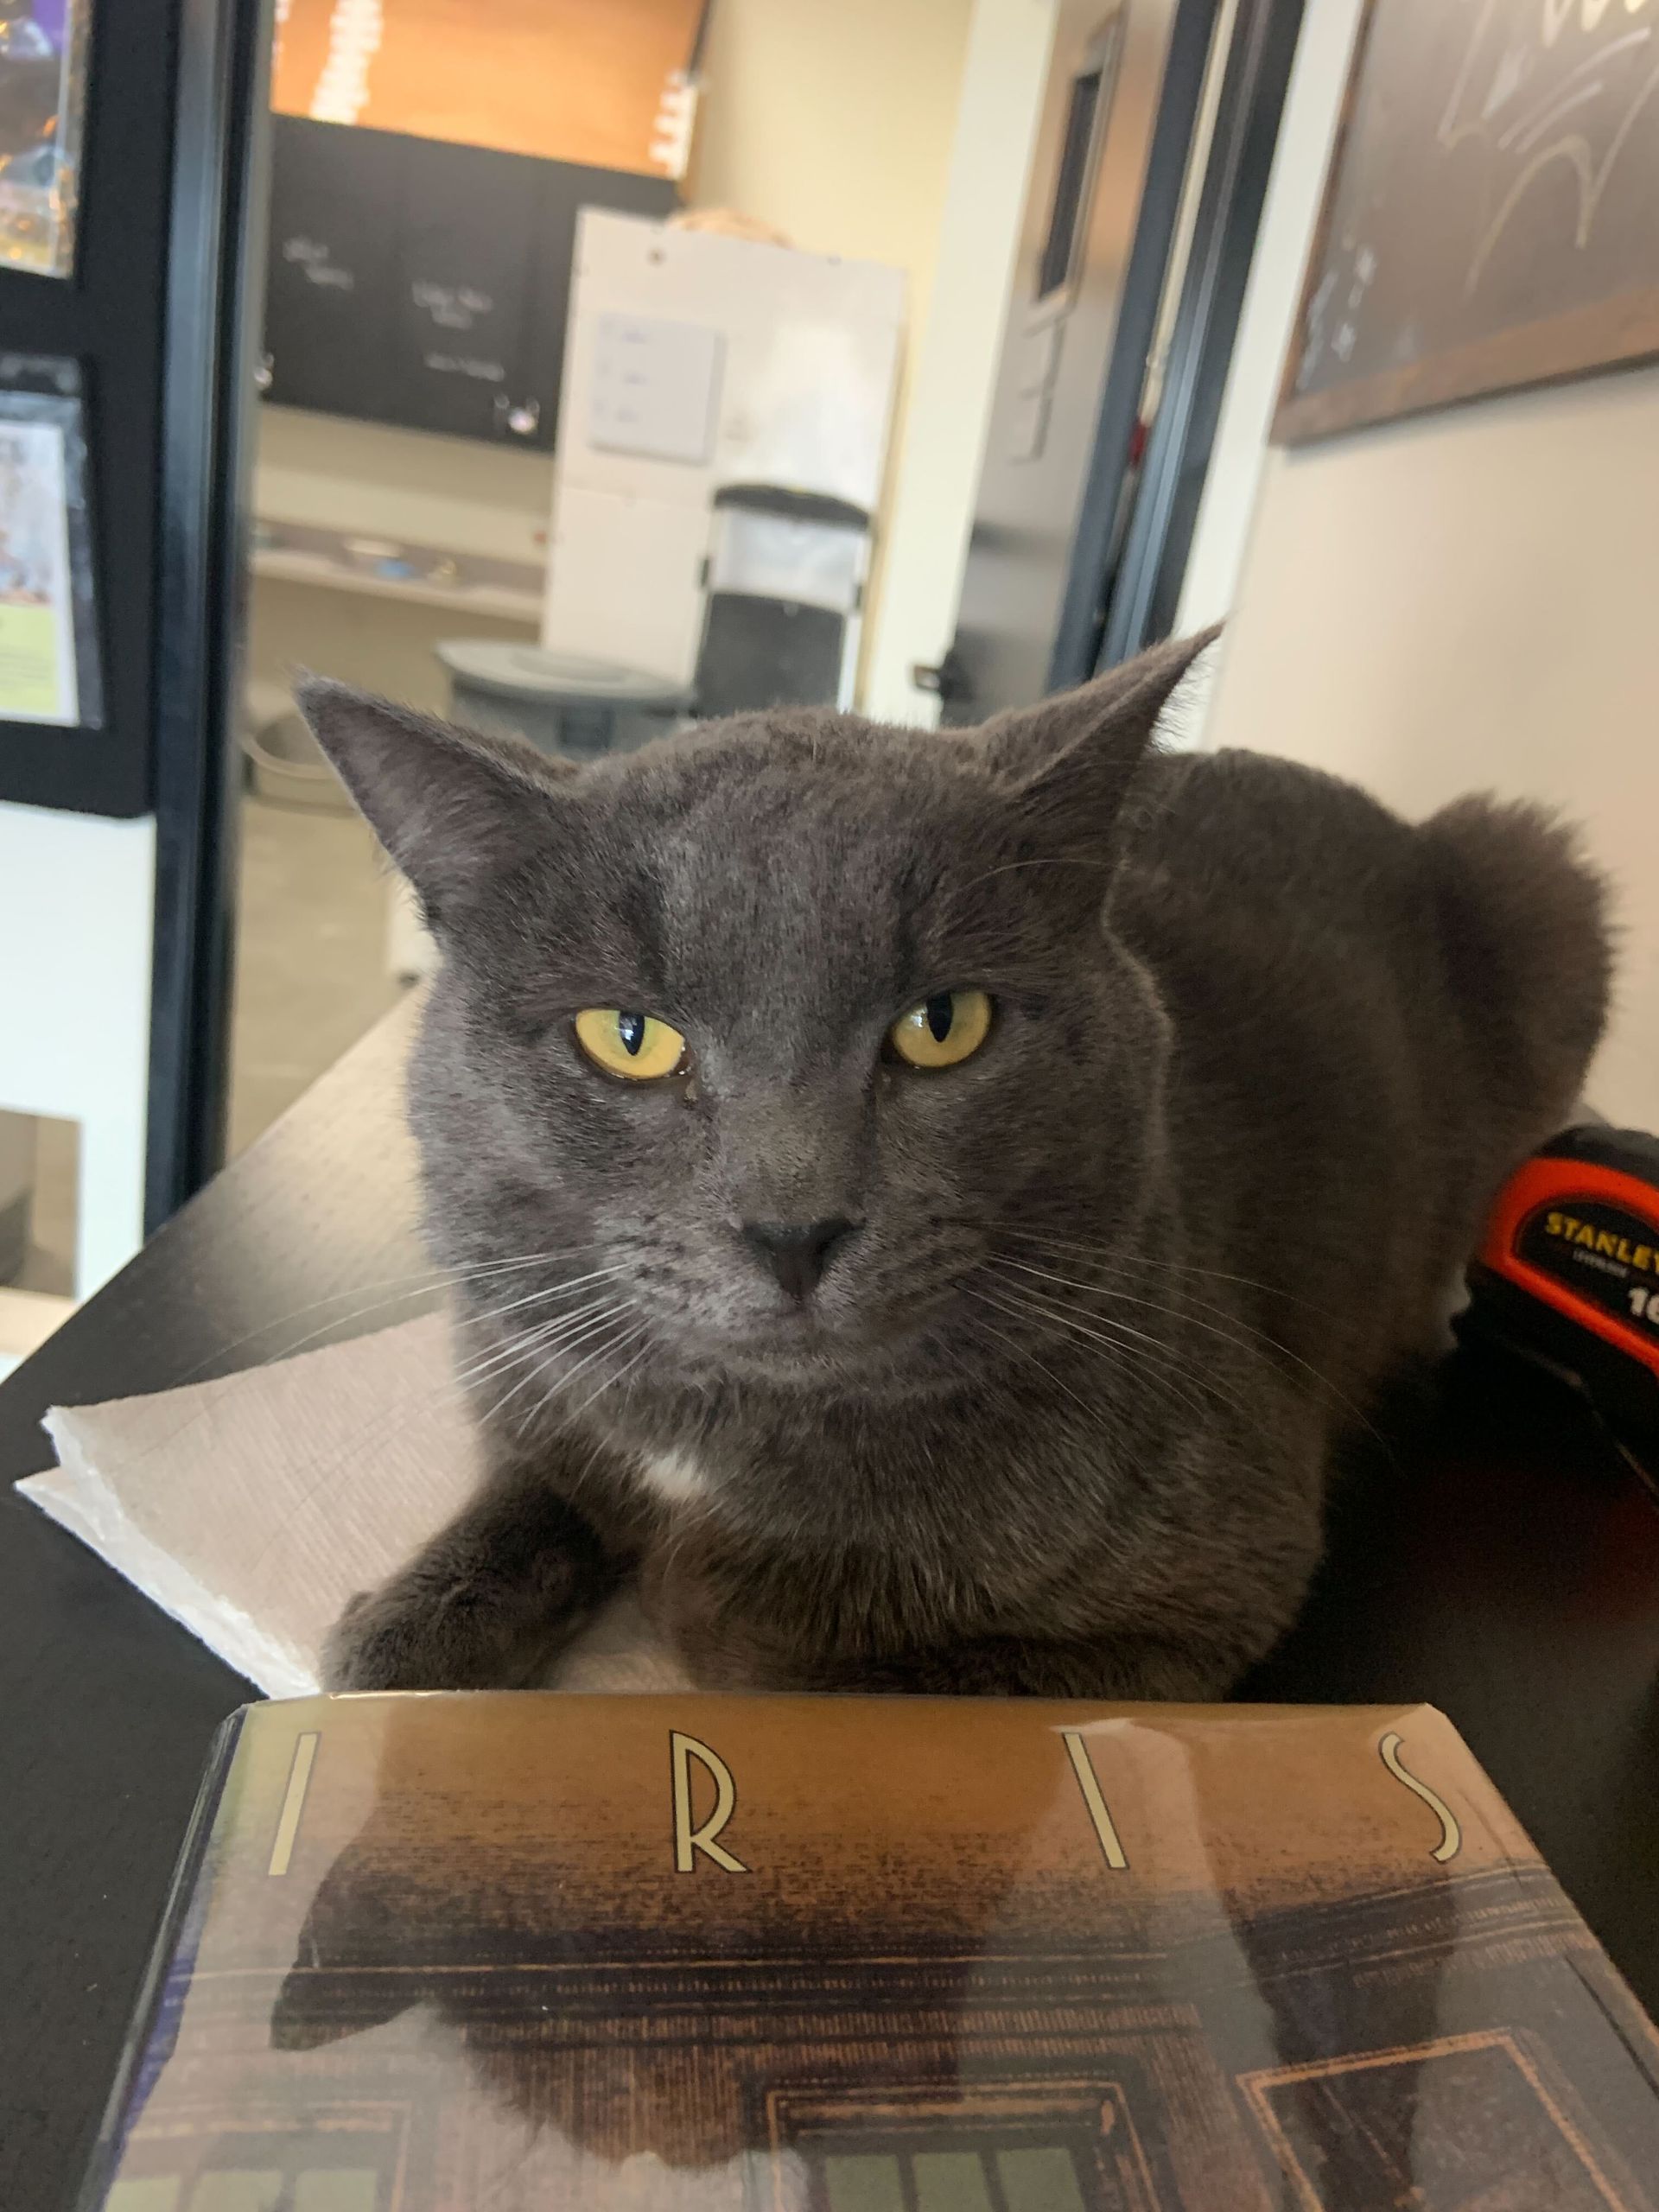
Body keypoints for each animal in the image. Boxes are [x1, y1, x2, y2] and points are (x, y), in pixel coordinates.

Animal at [298, 632, 1610, 1699]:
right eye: (627, 1036)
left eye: (945, 1024)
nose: (794, 1227)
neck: (720, 1445)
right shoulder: (536, 1372)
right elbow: (533, 1486)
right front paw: (396, 1632)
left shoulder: (1213, 1591)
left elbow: (790, 1661)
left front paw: (702, 1601)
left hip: (1543, 883)